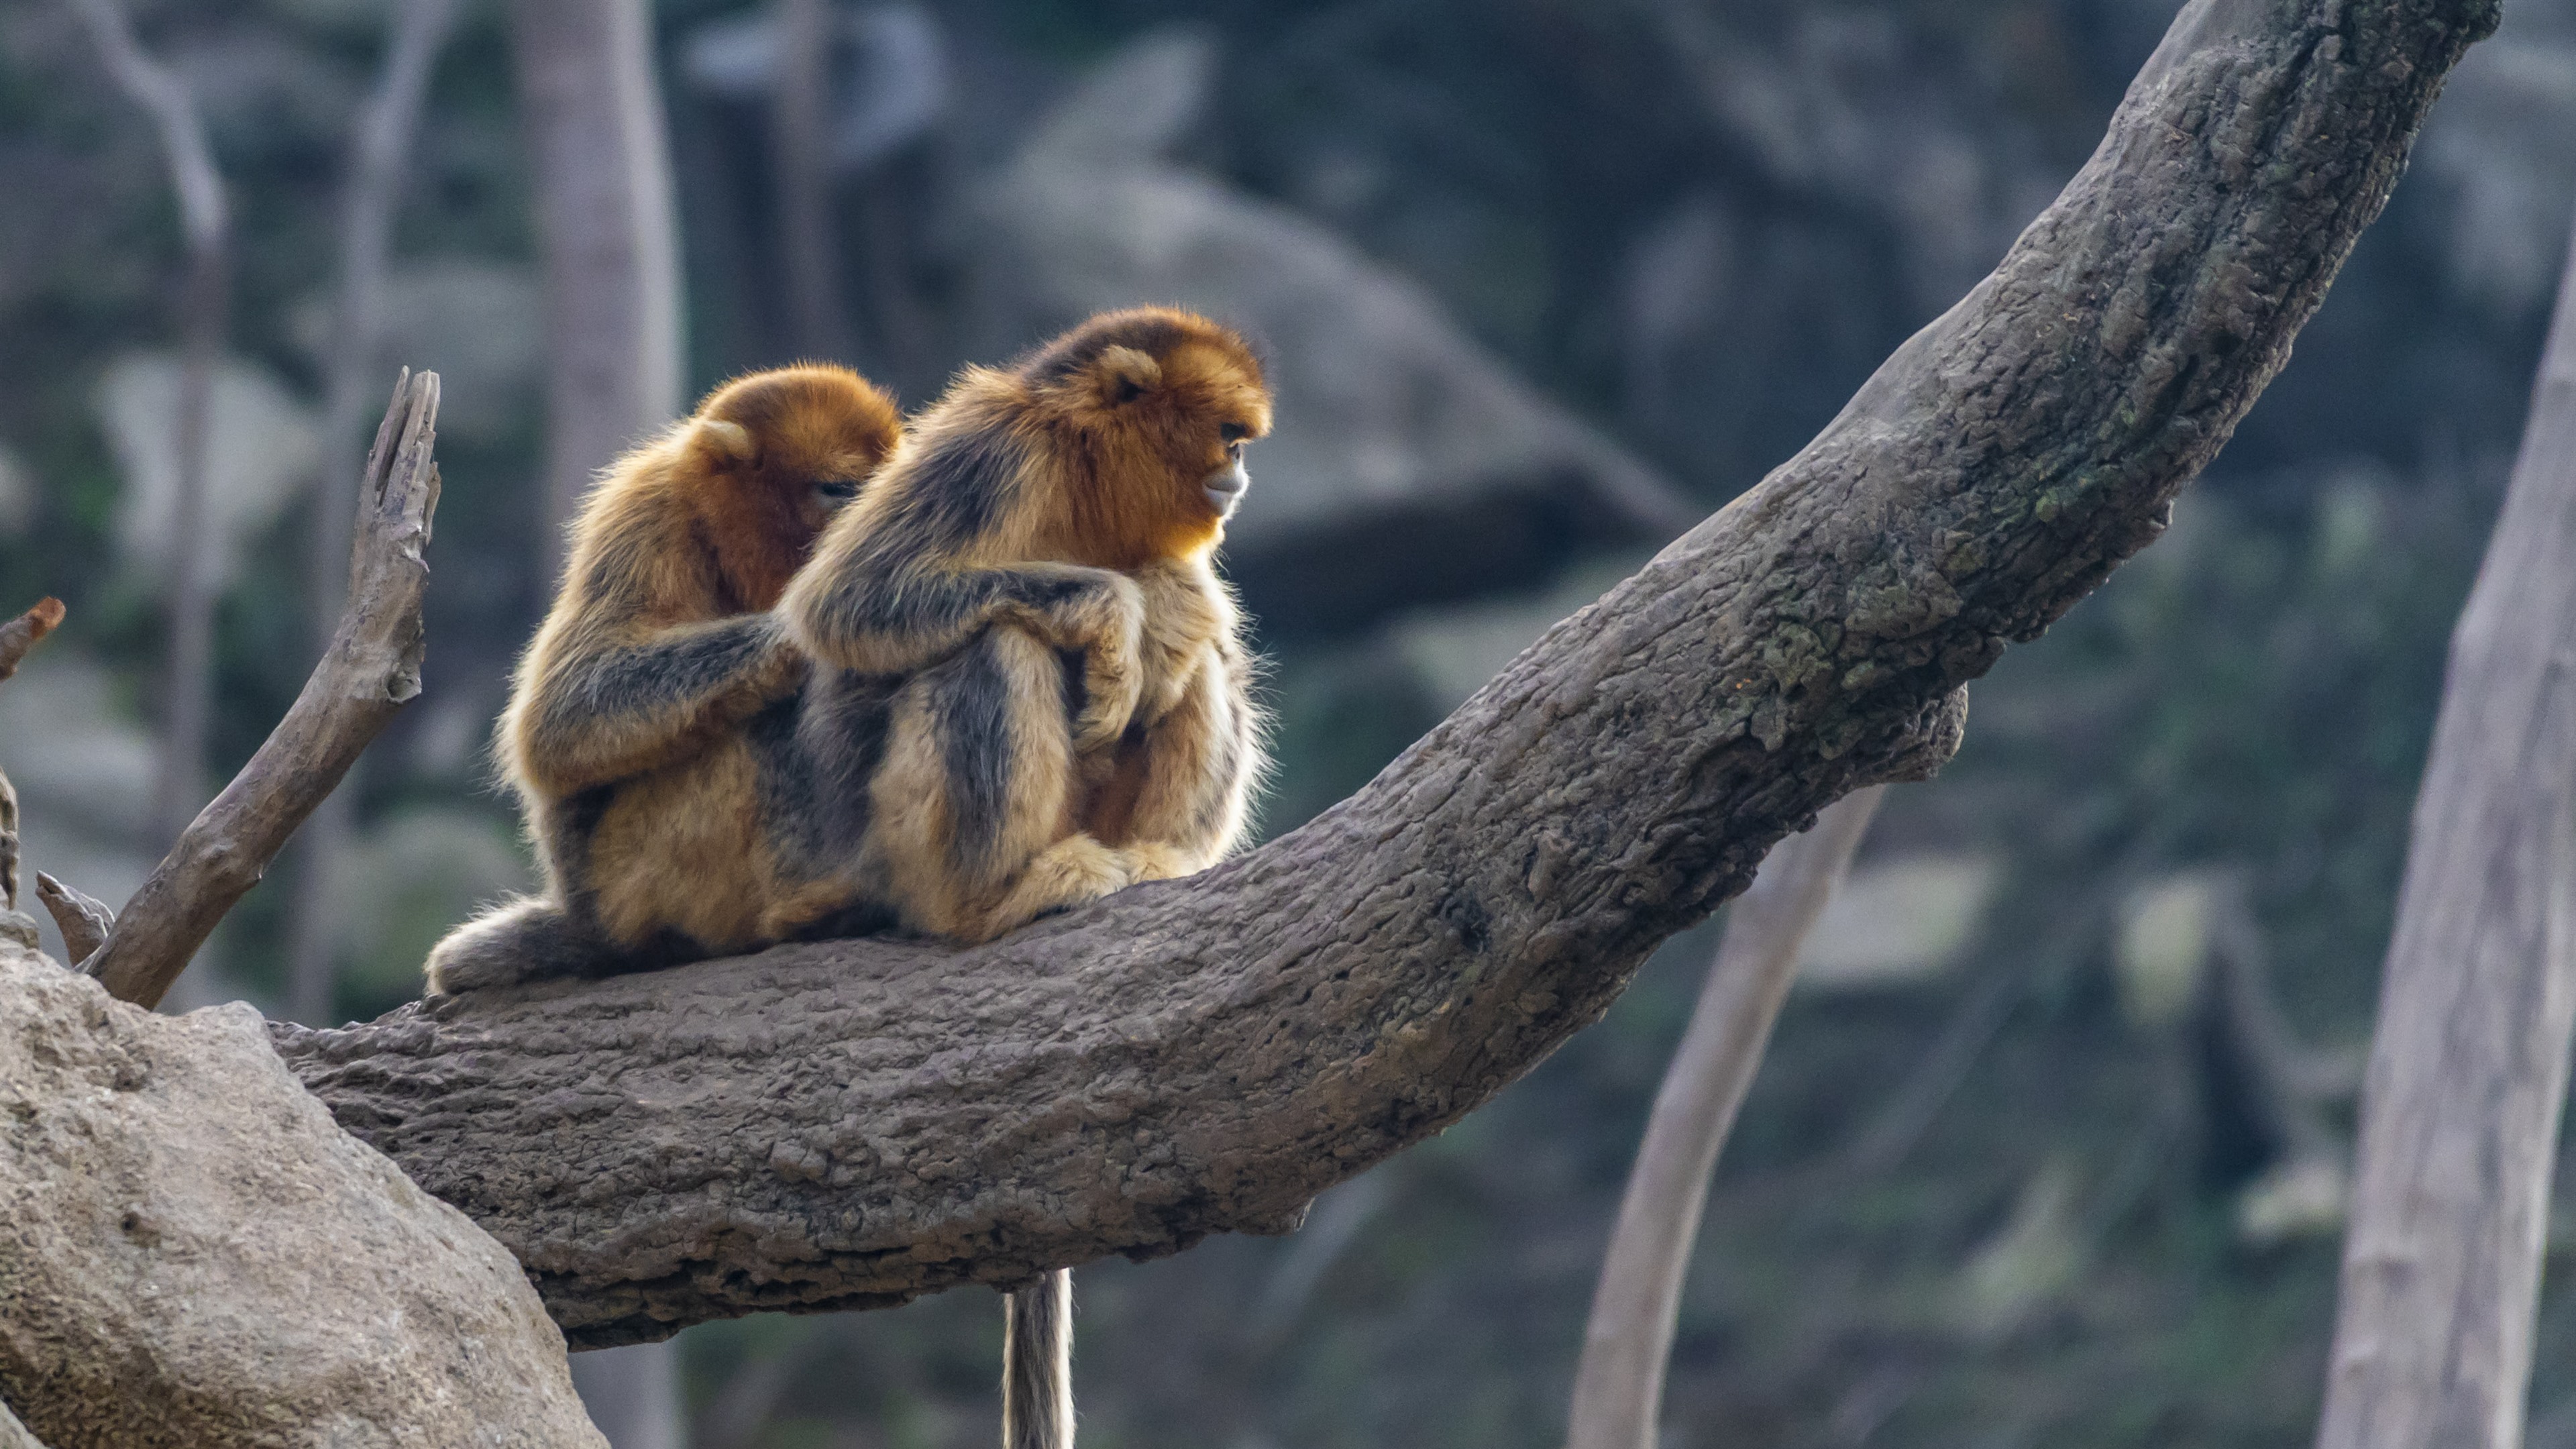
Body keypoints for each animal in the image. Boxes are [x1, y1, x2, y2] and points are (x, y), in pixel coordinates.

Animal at [422, 362, 903, 994]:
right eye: (840, 489)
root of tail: (590, 920)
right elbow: (562, 720)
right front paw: (800, 635)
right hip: (634, 875)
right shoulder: (649, 512)